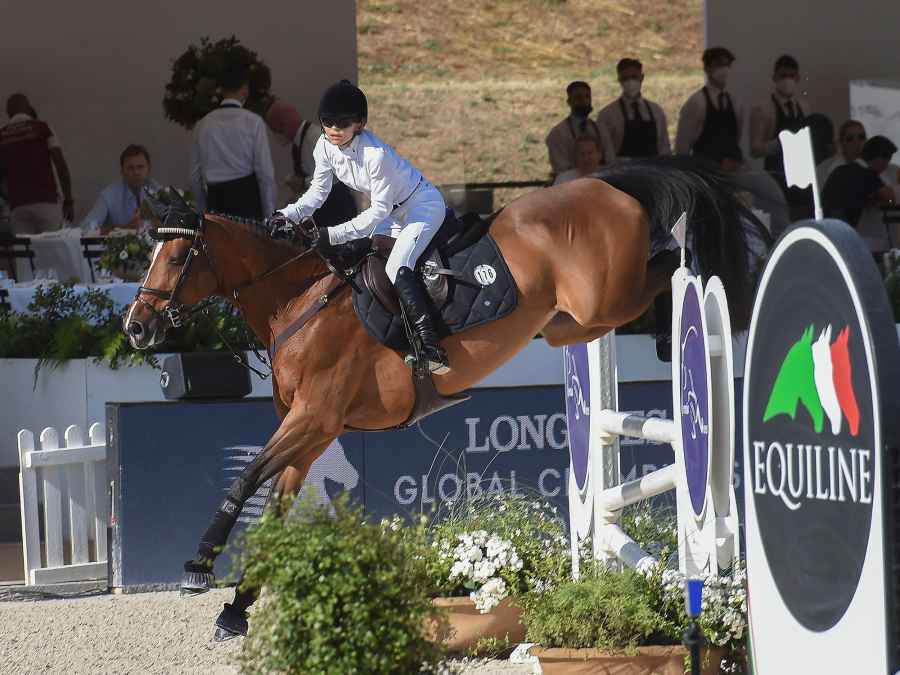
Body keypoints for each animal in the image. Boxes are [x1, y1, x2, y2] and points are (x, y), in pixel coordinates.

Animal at [123, 157, 768, 640]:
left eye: (177, 257)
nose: (135, 328)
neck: (300, 301)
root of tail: (603, 183)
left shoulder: (314, 420)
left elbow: (245, 479)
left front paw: (200, 564)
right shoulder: (310, 434)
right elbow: (273, 503)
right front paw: (236, 608)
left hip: (603, 297)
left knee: (664, 266)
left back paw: (687, 276)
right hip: (574, 323)